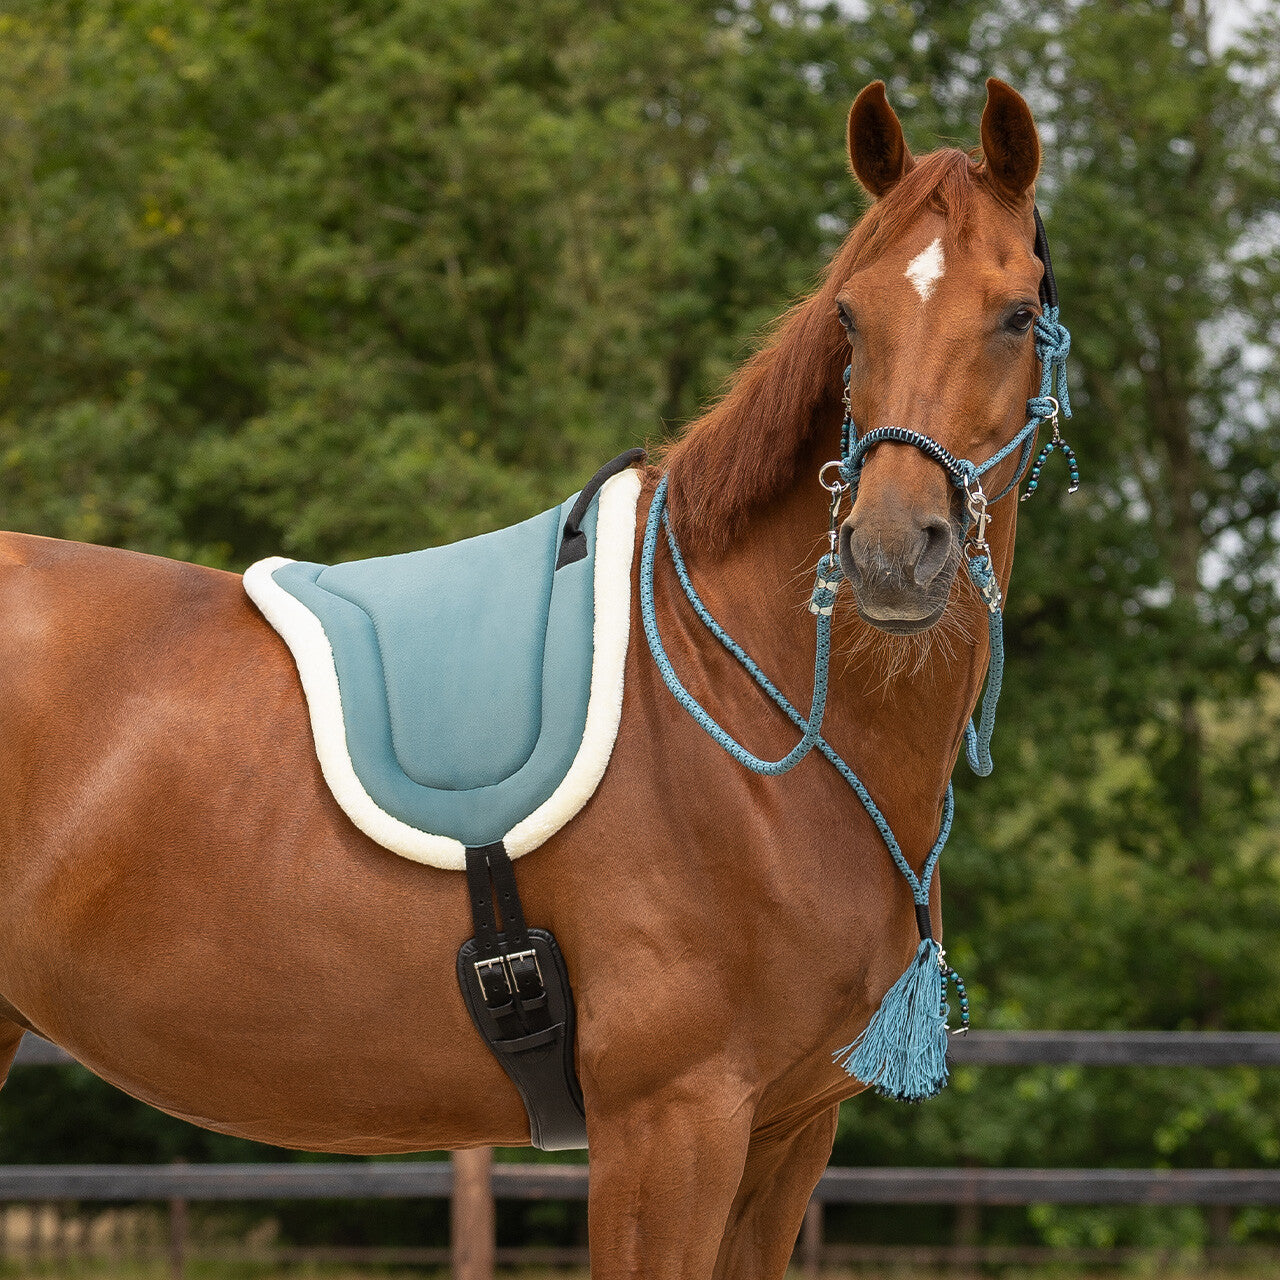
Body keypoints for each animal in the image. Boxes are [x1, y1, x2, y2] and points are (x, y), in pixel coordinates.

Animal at [0, 77, 1057, 1276]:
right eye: (849, 317)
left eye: (1015, 313)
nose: (887, 551)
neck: (743, 713)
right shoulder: (672, 1120)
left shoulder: (789, 1131)